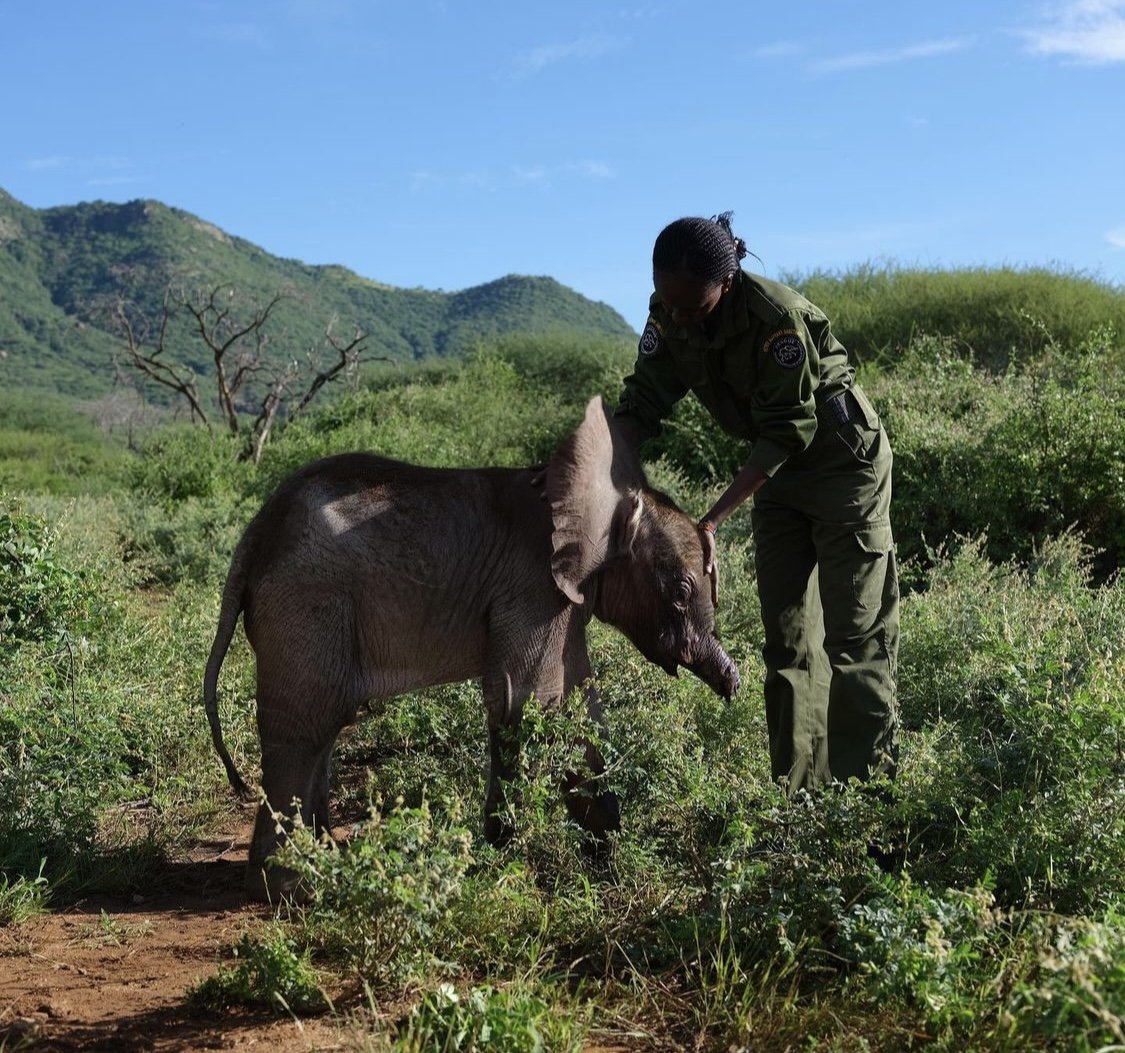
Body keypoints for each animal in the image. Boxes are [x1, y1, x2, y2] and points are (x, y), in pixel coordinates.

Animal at [207, 396, 742, 895]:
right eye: (681, 591)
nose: (734, 684)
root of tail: (253, 538)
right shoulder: (533, 586)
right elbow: (527, 704)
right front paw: (503, 859)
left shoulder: (563, 599)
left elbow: (577, 705)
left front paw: (606, 854)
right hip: (308, 604)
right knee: (306, 727)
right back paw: (295, 886)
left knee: (324, 728)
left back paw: (323, 862)